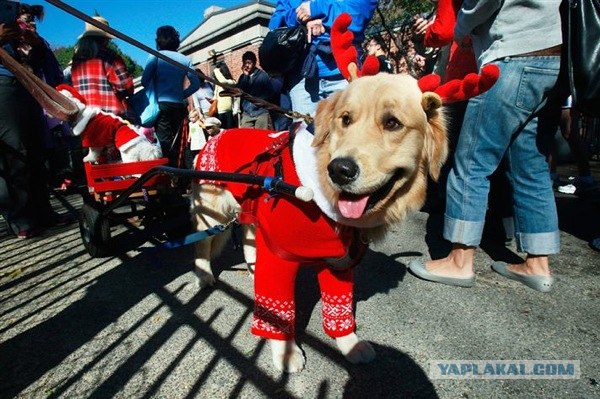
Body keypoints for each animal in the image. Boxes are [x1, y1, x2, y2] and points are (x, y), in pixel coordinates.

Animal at [190, 72, 448, 376]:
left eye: (392, 123)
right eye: (345, 119)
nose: (340, 170)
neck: (318, 196)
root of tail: (217, 134)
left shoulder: (339, 263)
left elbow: (339, 305)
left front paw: (349, 343)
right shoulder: (279, 258)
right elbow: (279, 314)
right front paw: (286, 351)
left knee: (249, 244)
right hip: (212, 213)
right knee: (201, 247)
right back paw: (204, 275)